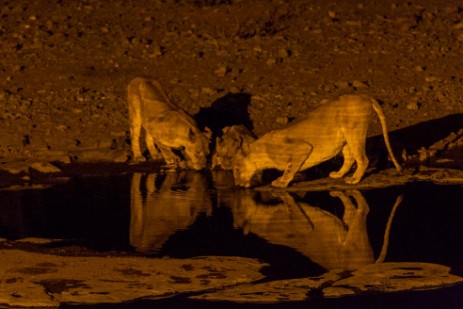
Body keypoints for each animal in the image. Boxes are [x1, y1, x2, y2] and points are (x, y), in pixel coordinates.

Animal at [236, 93, 402, 188]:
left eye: (236, 169)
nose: (237, 184)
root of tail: (365, 96)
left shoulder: (302, 148)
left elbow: (290, 168)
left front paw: (281, 182)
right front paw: (281, 178)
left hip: (354, 131)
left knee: (363, 159)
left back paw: (354, 179)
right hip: (346, 137)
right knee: (350, 158)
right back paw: (338, 174)